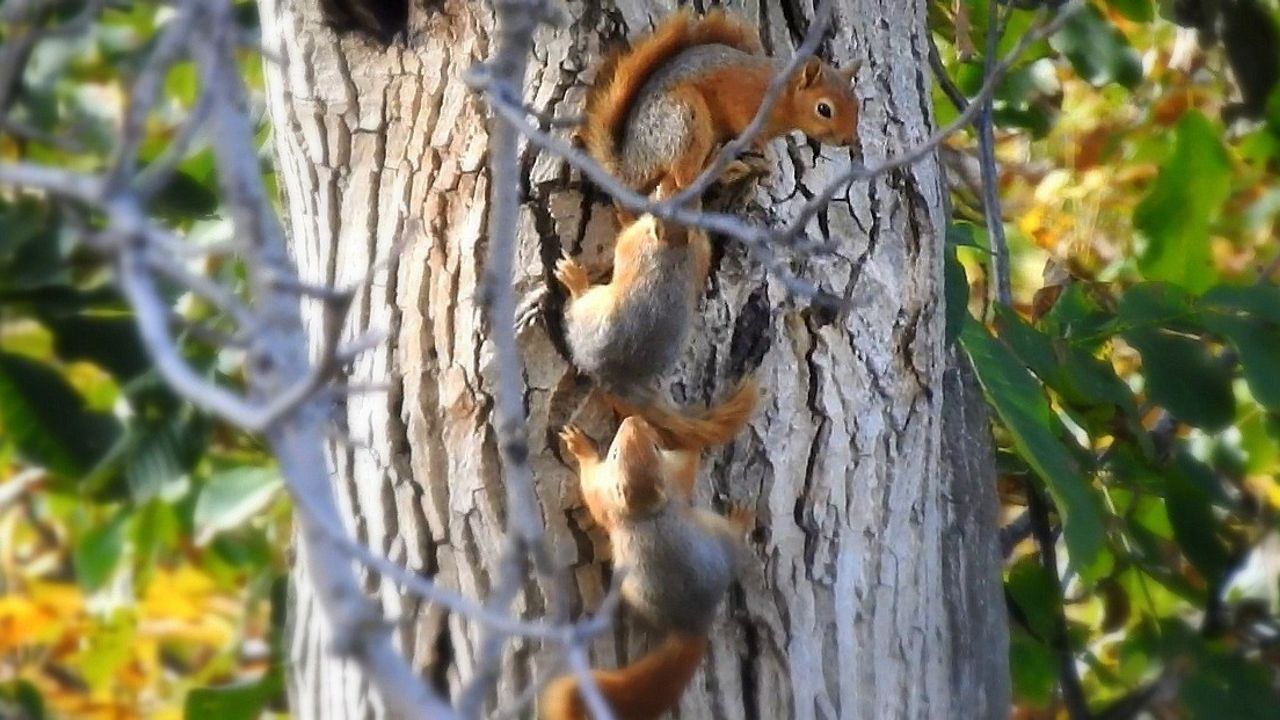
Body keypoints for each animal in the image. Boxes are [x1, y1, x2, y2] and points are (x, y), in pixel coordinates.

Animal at [545, 415, 752, 717]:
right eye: (615, 453)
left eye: (654, 447)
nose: (634, 419)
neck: (644, 510)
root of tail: (694, 623)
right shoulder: (614, 497)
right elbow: (592, 485)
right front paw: (581, 447)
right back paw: (740, 520)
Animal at [555, 210, 752, 450]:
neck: (676, 252)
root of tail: (620, 380)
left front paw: (624, 213)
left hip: (591, 310)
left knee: (579, 301)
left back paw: (575, 279)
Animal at [581, 9, 860, 198]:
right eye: (824, 109)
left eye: (857, 106)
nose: (848, 140)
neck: (783, 96)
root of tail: (635, 160)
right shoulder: (743, 99)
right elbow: (742, 122)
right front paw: (765, 151)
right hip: (685, 118)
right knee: (684, 178)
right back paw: (720, 165)